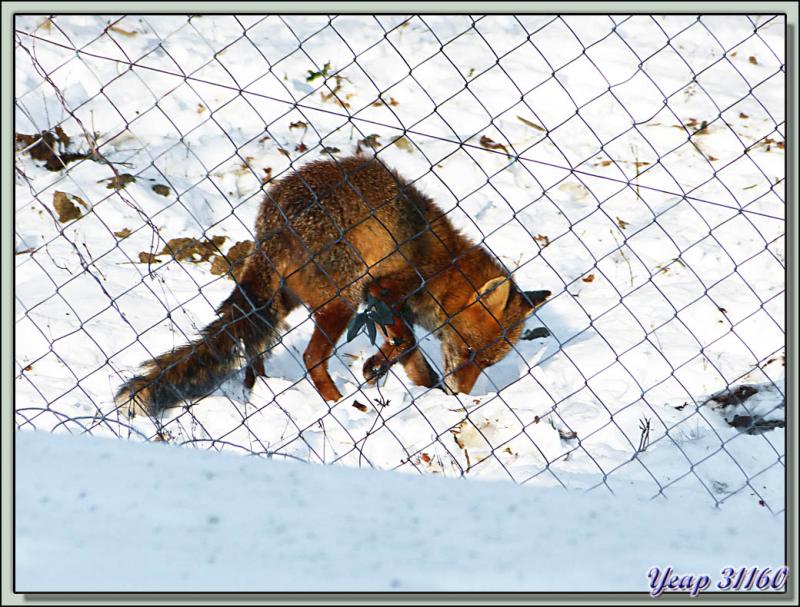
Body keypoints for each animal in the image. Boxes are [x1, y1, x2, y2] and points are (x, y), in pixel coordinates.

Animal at [116, 155, 551, 417]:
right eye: (469, 351)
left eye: (488, 363)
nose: (463, 394)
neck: (444, 267)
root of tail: (277, 220)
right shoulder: (382, 291)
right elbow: (407, 343)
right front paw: (379, 369)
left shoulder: (391, 307)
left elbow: (414, 358)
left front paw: (424, 389)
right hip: (342, 300)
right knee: (311, 358)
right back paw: (336, 404)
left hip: (281, 301)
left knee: (254, 345)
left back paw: (260, 388)